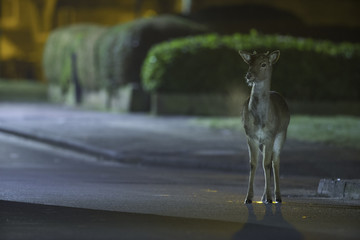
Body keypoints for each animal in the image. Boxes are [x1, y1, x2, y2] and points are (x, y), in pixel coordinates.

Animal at [238, 49, 292, 203]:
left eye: (263, 64)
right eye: (249, 62)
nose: (249, 75)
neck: (260, 120)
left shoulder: (270, 136)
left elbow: (267, 164)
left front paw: (269, 197)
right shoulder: (250, 136)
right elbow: (253, 164)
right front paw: (248, 198)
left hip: (282, 134)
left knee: (275, 161)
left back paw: (277, 196)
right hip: (263, 142)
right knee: (268, 161)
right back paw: (263, 196)